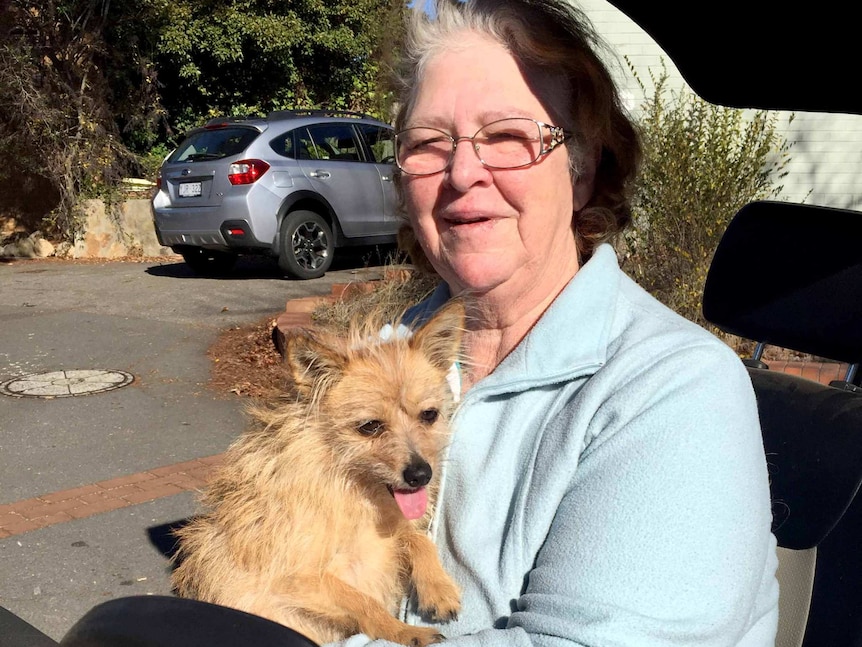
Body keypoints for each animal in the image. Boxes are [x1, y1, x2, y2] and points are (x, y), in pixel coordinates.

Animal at [170, 302, 466, 647]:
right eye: (370, 426)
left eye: (429, 415)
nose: (421, 475)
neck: (353, 493)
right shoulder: (292, 577)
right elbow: (364, 602)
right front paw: (405, 632)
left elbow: (417, 539)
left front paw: (439, 588)